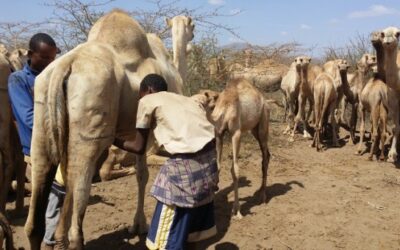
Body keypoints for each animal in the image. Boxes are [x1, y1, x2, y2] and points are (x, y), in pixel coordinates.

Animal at [25, 8, 185, 249]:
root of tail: (64, 66)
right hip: (89, 124)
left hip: (42, 119)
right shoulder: (147, 130)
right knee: (79, 202)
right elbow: (143, 174)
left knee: (35, 219)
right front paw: (139, 225)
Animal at [194, 78, 272, 219]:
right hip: (254, 129)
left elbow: (235, 169)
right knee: (267, 154)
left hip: (263, 123)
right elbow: (217, 165)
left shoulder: (236, 133)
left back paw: (262, 196)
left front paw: (237, 211)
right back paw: (260, 191)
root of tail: (265, 100)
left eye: (205, 98)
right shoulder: (219, 133)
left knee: (265, 156)